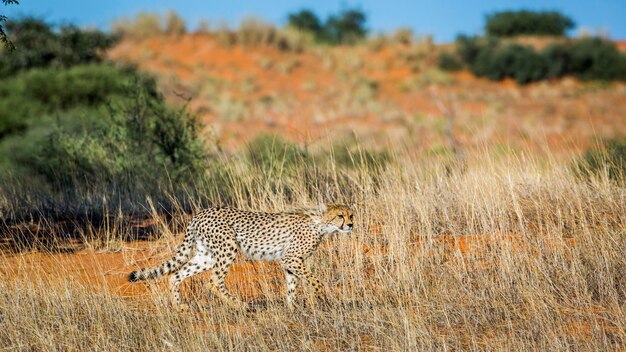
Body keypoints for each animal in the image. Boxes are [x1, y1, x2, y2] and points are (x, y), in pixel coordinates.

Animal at [128, 202, 352, 310]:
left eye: (351, 215)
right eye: (340, 215)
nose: (351, 225)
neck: (321, 223)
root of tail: (199, 214)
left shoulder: (290, 261)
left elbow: (291, 285)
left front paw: (292, 307)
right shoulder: (291, 258)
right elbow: (315, 281)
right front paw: (320, 297)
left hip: (206, 256)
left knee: (176, 275)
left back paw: (179, 306)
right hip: (228, 247)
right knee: (213, 281)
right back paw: (241, 305)